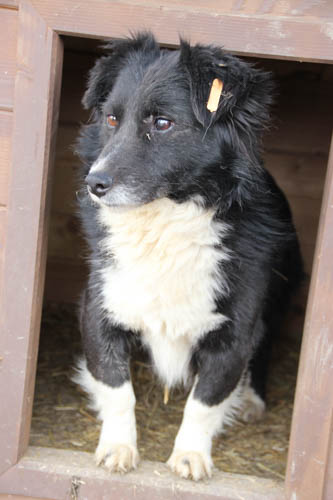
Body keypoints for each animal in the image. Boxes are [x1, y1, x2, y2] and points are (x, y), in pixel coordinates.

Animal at [74, 32, 302, 480]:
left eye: (162, 123)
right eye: (111, 120)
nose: (95, 183)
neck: (165, 222)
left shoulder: (235, 332)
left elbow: (205, 400)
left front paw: (191, 455)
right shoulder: (99, 309)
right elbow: (116, 388)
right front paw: (118, 447)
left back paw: (252, 399)